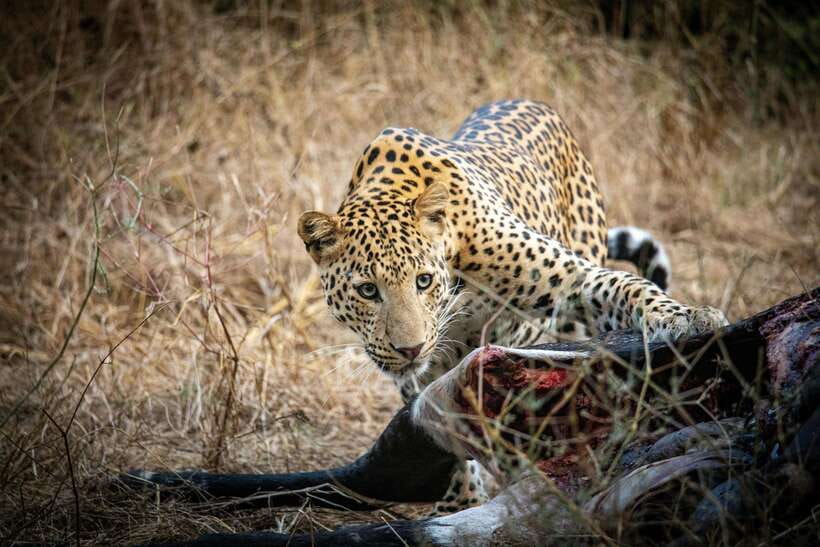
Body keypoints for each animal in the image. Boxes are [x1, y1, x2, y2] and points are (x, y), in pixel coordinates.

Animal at [297, 99, 727, 514]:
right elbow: (438, 423)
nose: (411, 349)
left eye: (423, 281)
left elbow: (627, 285)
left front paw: (685, 317)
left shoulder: (572, 278)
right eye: (368, 291)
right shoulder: (423, 372)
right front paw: (462, 501)